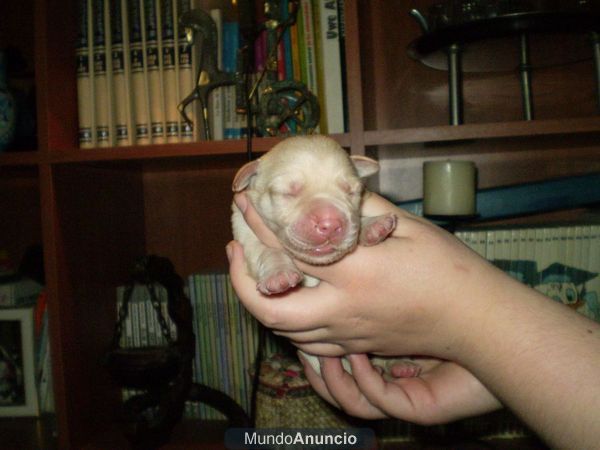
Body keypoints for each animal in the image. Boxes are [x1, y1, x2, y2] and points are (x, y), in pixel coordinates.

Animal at [230, 135, 422, 378]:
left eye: (351, 191)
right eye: (288, 193)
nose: (330, 224)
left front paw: (372, 225)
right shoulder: (246, 235)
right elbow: (267, 250)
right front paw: (279, 274)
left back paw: (401, 365)